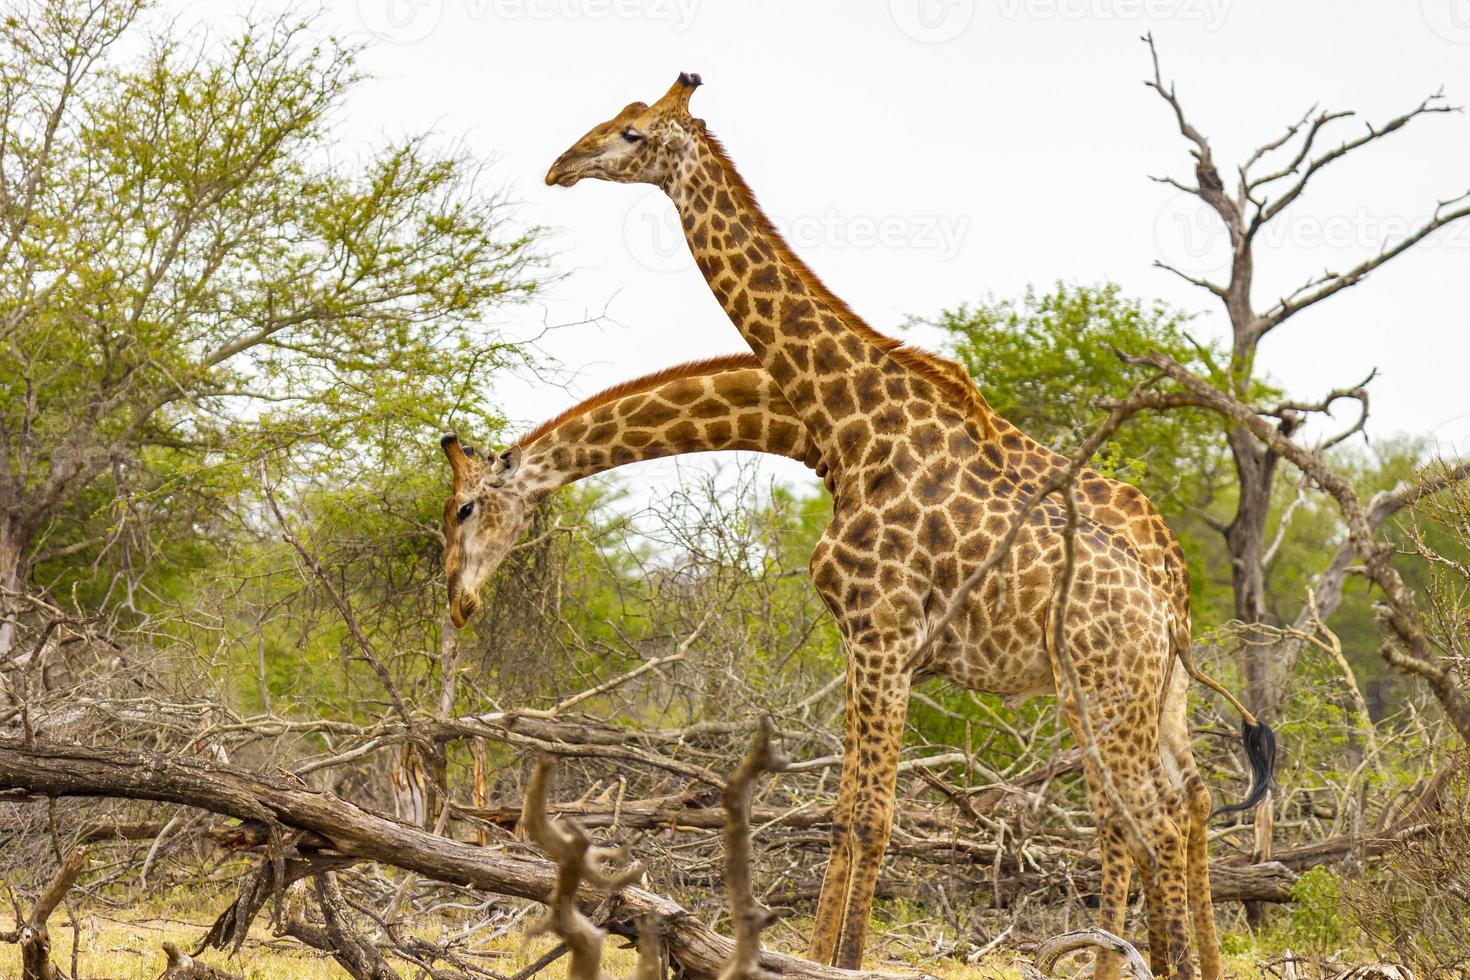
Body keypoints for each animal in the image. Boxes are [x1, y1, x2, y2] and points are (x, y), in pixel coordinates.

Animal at [540, 78, 1275, 980]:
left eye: (632, 133)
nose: (559, 165)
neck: (854, 425)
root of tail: (1169, 610)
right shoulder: (878, 646)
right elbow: (848, 809)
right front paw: (818, 954)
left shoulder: (879, 635)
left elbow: (866, 816)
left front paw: (836, 960)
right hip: (1136, 699)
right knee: (1181, 805)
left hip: (1105, 697)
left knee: (1152, 820)